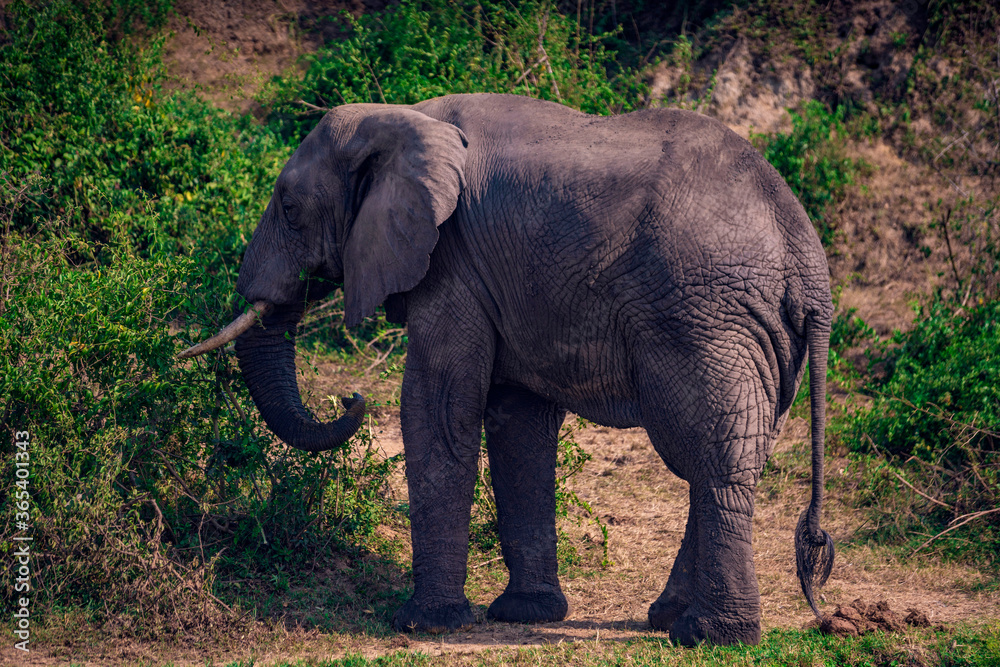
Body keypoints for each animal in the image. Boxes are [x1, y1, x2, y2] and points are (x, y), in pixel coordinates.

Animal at [180, 93, 835, 646]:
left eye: (290, 209)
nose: (349, 399)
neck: (399, 119)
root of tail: (805, 253)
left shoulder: (451, 258)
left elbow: (438, 406)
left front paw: (423, 624)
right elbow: (518, 425)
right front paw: (524, 613)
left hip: (702, 315)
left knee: (712, 454)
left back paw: (711, 635)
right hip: (760, 335)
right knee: (731, 451)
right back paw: (670, 618)